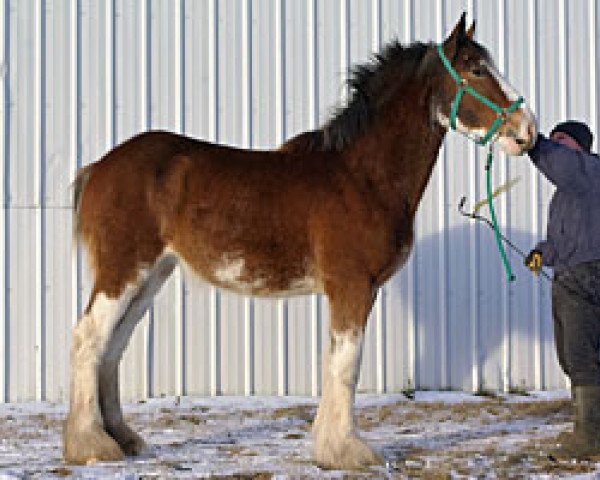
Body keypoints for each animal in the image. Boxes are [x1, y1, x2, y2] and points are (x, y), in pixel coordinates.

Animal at [64, 14, 536, 468]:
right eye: (476, 69)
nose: (527, 131)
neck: (362, 177)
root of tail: (100, 166)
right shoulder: (351, 286)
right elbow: (346, 366)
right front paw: (346, 451)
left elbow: (337, 364)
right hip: (125, 270)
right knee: (89, 338)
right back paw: (91, 444)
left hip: (152, 275)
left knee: (112, 347)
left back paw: (122, 439)